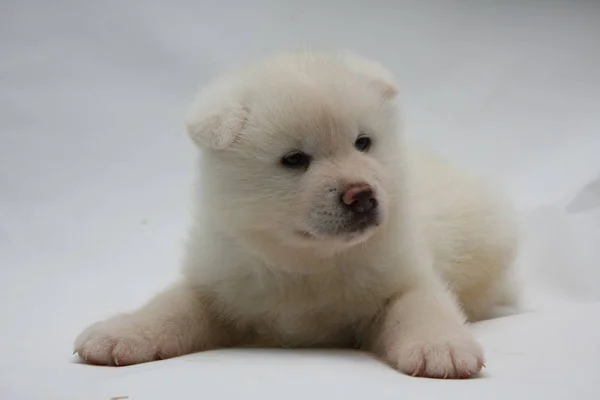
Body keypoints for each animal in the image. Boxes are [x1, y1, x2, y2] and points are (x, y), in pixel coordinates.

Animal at [75, 52, 516, 378]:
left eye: (363, 142)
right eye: (294, 159)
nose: (362, 195)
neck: (307, 265)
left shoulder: (404, 274)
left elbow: (420, 306)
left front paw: (442, 346)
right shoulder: (219, 284)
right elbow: (169, 307)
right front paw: (121, 332)